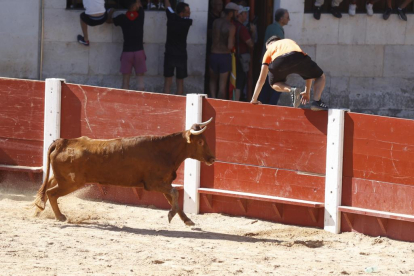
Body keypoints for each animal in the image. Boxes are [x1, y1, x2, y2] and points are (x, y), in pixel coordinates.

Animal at [33, 117, 215, 225]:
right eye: (200, 142)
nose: (212, 158)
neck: (165, 151)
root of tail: (63, 141)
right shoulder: (154, 183)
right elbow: (175, 194)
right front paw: (171, 215)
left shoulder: (164, 183)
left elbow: (173, 199)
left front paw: (188, 220)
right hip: (71, 182)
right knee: (51, 193)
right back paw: (60, 217)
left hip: (62, 179)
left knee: (46, 188)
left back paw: (37, 210)